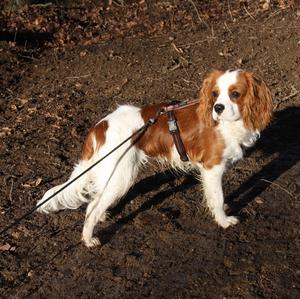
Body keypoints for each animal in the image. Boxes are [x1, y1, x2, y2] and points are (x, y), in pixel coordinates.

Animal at [37, 69, 272, 247]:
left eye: (235, 94)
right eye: (215, 94)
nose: (218, 108)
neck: (229, 124)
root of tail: (99, 127)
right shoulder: (212, 168)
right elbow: (217, 199)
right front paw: (223, 221)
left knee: (95, 201)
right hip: (121, 176)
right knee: (91, 209)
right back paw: (88, 239)